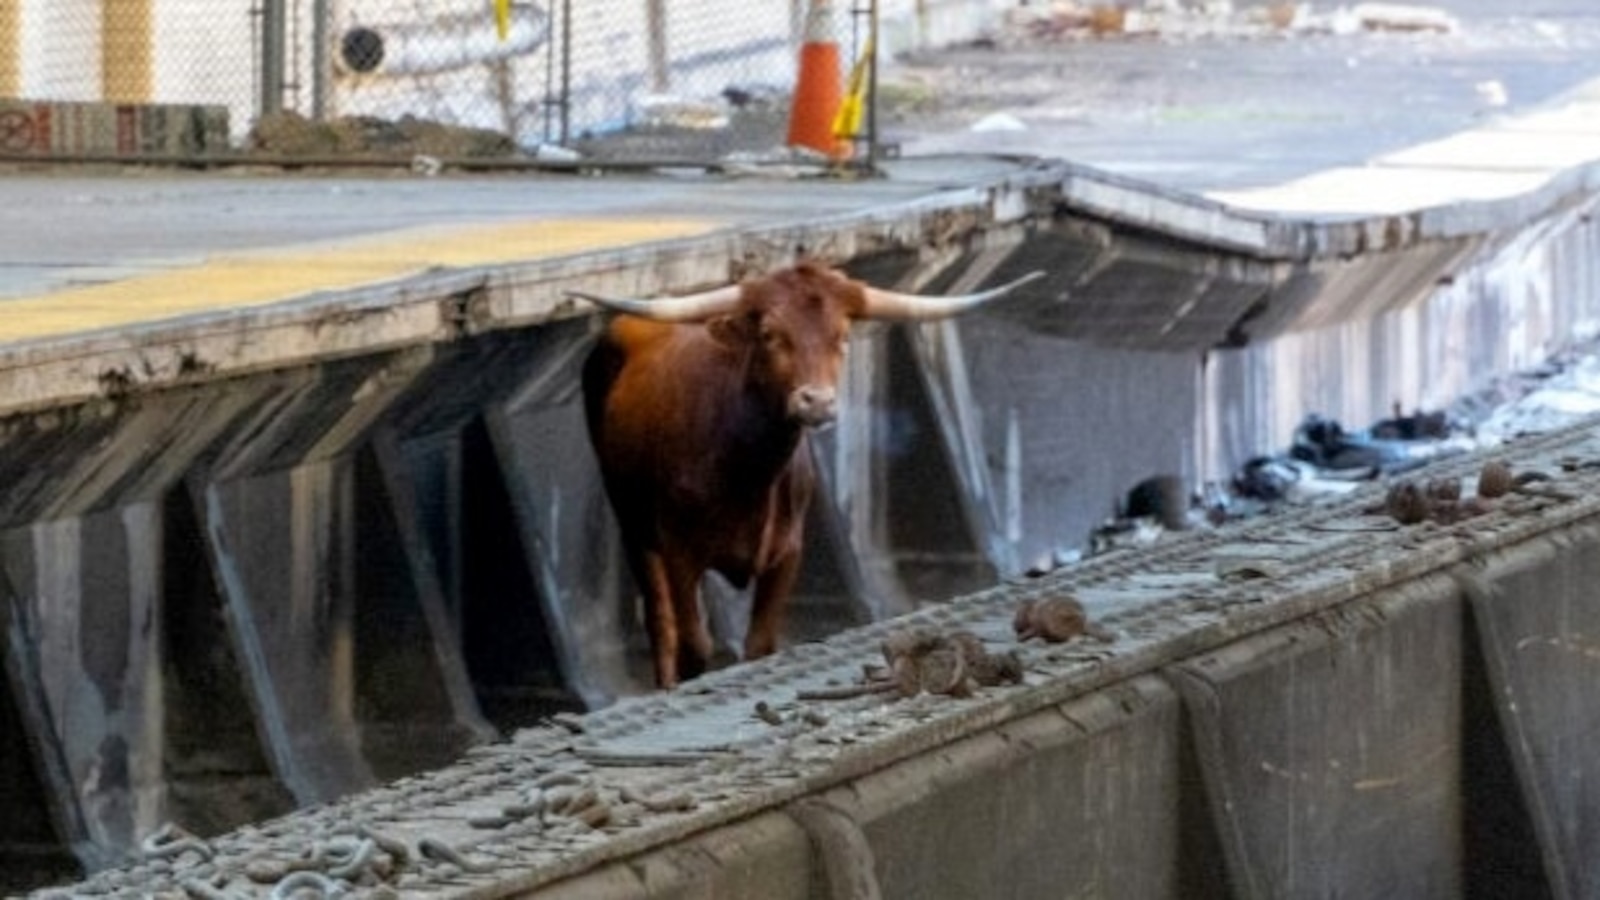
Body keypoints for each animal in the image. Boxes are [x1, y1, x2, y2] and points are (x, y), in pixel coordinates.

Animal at [569, 262, 1042, 688]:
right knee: (660, 621)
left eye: (843, 336)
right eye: (770, 334)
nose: (816, 402)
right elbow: (693, 647)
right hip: (633, 525)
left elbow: (760, 645)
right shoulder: (680, 550)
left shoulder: (787, 553)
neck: (743, 474)